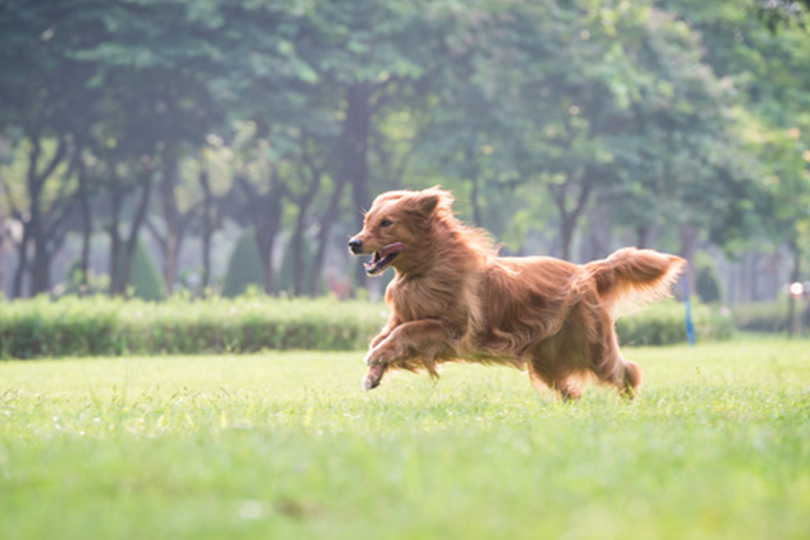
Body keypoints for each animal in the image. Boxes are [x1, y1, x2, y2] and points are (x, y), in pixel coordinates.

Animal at [348, 188, 680, 398]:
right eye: (366, 222)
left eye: (386, 223)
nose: (353, 243)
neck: (426, 268)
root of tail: (587, 270)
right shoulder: (404, 316)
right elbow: (385, 336)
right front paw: (372, 374)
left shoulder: (452, 329)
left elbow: (404, 333)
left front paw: (375, 358)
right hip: (548, 360)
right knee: (572, 392)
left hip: (592, 347)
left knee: (627, 371)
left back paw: (628, 399)